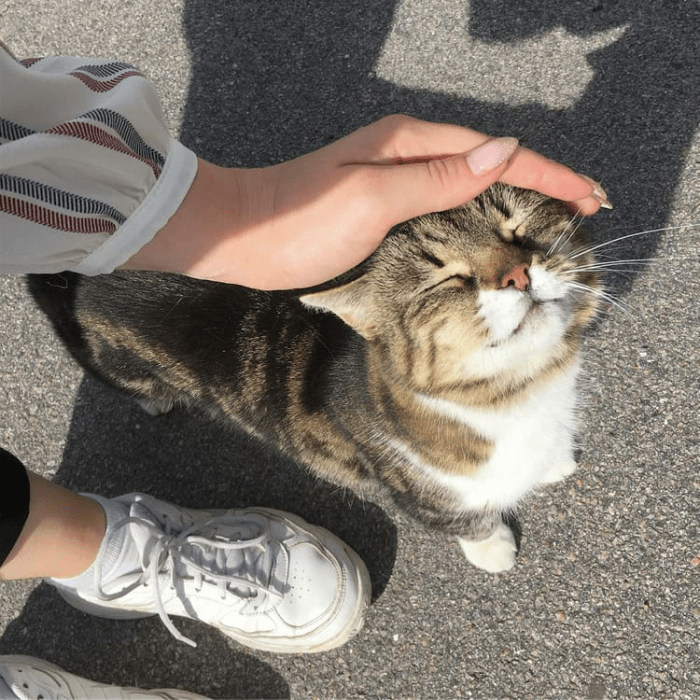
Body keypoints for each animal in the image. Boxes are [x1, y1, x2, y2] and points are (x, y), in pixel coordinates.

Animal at [26, 182, 596, 576]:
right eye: (446, 278)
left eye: (517, 227)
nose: (517, 275)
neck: (517, 391)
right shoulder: (417, 488)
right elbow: (462, 518)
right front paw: (494, 548)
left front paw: (555, 463)